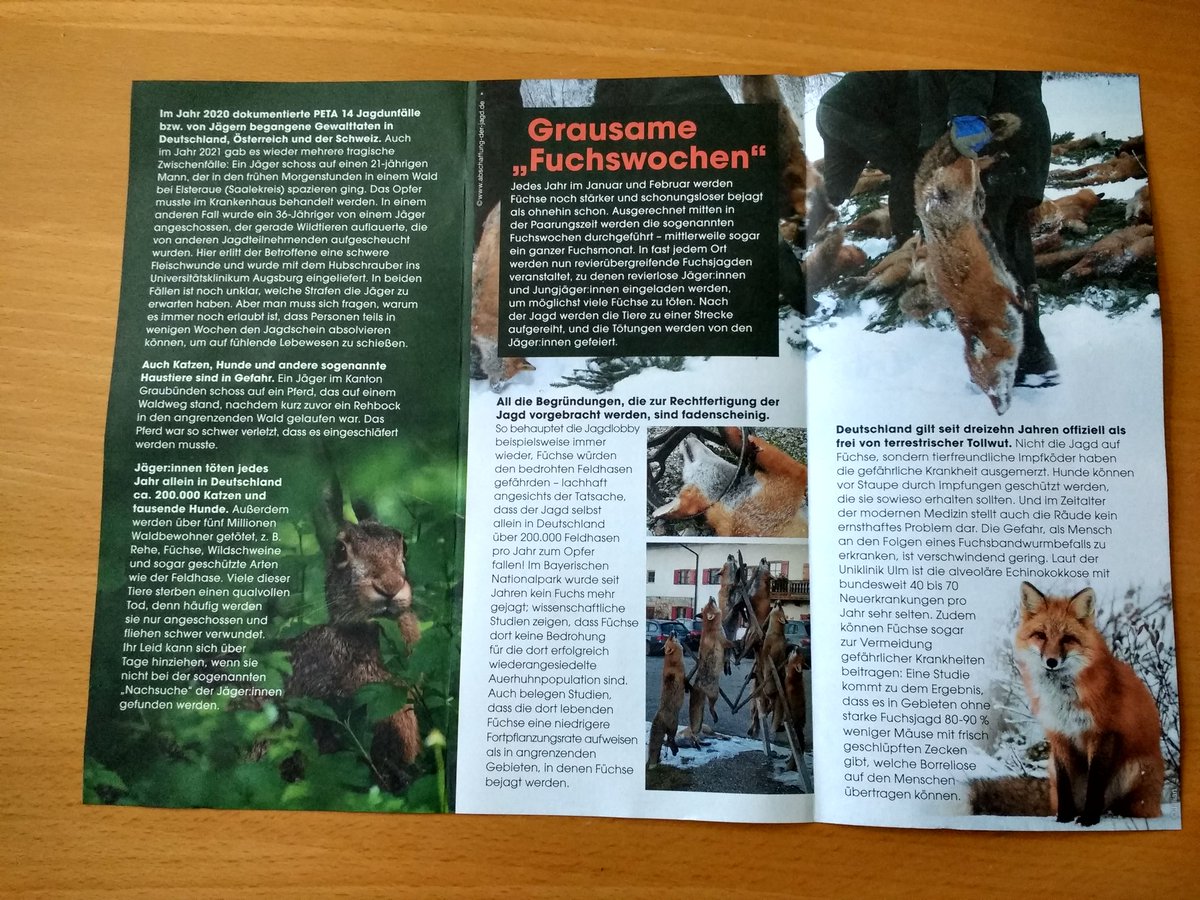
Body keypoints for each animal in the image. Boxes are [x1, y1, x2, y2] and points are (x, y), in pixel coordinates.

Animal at [914, 113, 1024, 415]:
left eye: (994, 386)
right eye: (986, 393)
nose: (999, 413)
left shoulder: (998, 289)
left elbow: (1018, 296)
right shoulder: (1004, 281)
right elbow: (1017, 289)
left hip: (961, 180)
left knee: (968, 160)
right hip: (968, 193)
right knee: (974, 163)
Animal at [1012, 582, 1164, 825]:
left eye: (1067, 638)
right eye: (1041, 635)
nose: (1051, 662)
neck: (1063, 697)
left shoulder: (1102, 732)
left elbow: (1095, 783)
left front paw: (1089, 819)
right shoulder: (1059, 734)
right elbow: (1065, 784)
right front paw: (1064, 818)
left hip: (1134, 770)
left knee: (1122, 806)